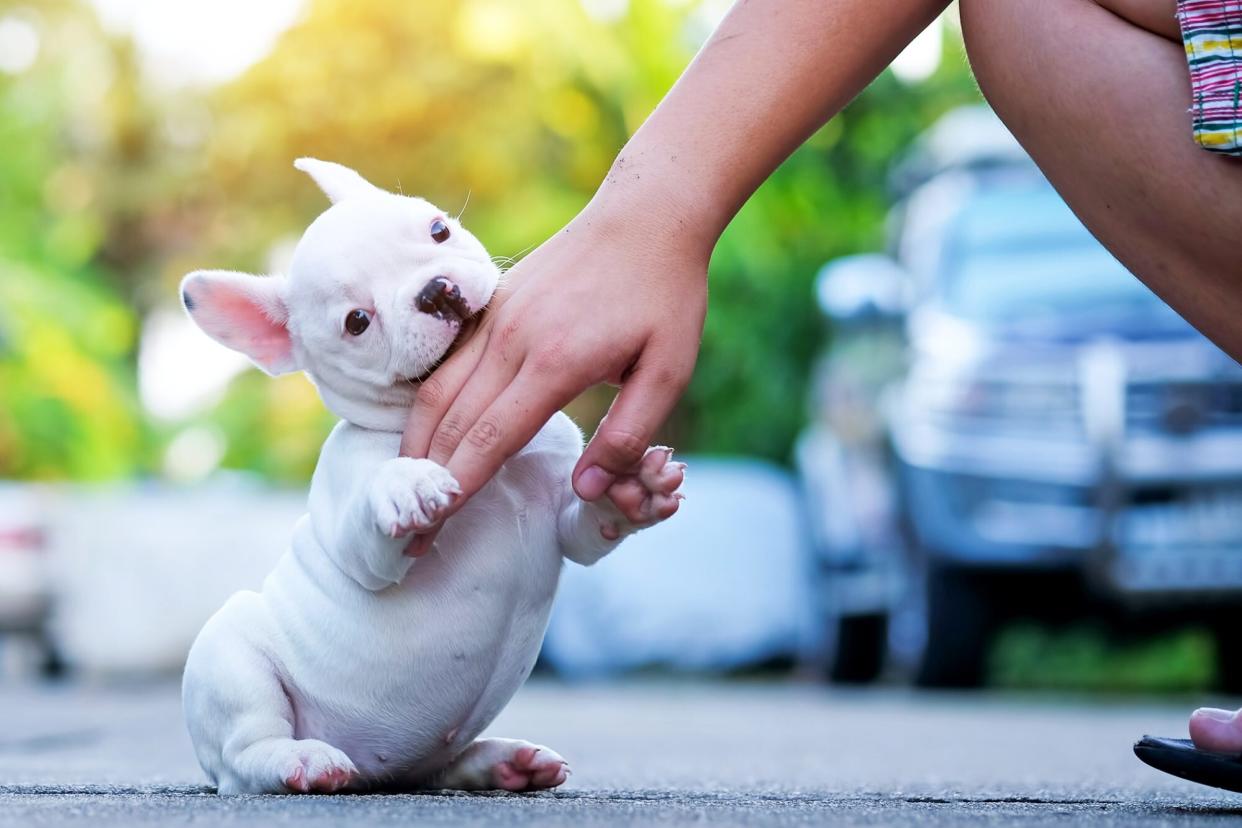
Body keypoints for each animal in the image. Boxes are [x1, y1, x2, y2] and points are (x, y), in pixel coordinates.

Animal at [180, 158, 685, 794]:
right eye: (357, 322)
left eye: (438, 229)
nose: (434, 290)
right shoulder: (362, 546)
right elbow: (372, 526)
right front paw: (407, 483)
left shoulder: (560, 516)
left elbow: (586, 524)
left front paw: (629, 494)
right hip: (231, 656)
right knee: (244, 754)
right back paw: (300, 761)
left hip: (426, 752)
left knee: (439, 765)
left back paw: (505, 762)